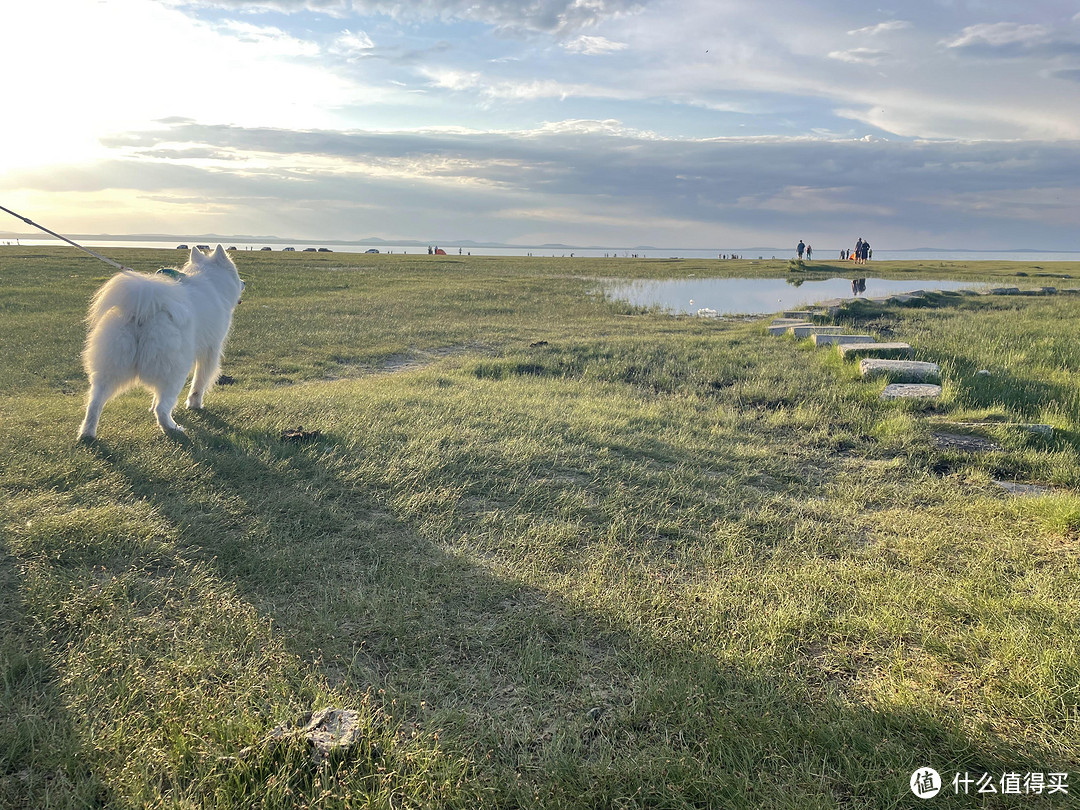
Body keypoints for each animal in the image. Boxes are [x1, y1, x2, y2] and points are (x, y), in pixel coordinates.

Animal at [78, 246, 245, 440]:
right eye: (236, 273)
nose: (244, 282)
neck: (211, 282)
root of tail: (143, 312)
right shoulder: (211, 350)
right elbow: (199, 383)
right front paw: (195, 404)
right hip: (175, 372)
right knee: (162, 408)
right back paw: (173, 428)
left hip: (111, 368)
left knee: (94, 404)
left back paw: (87, 434)